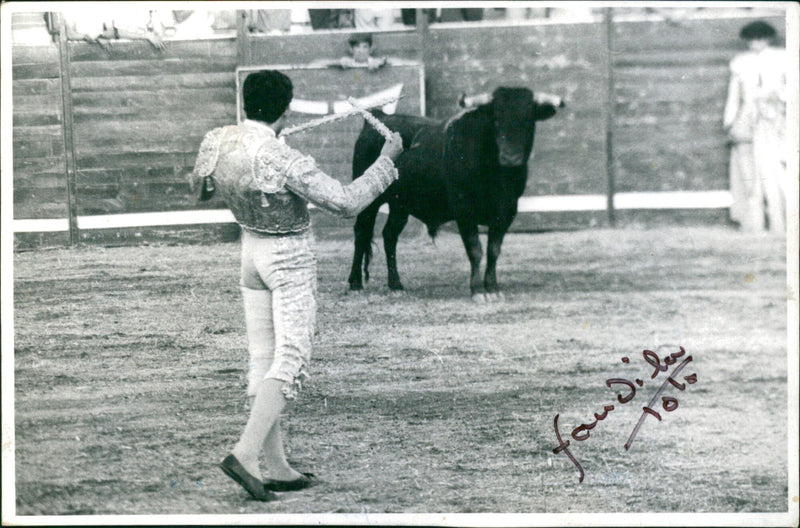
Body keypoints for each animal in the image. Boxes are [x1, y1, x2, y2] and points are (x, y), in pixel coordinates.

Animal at [348, 87, 564, 302]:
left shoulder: (506, 212)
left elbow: (493, 250)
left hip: (400, 205)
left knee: (390, 235)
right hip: (370, 201)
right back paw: (355, 284)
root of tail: (380, 116)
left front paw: (493, 288)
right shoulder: (465, 211)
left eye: (529, 120)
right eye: (495, 120)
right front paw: (478, 291)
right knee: (362, 233)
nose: (510, 158)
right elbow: (475, 249)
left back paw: (396, 285)